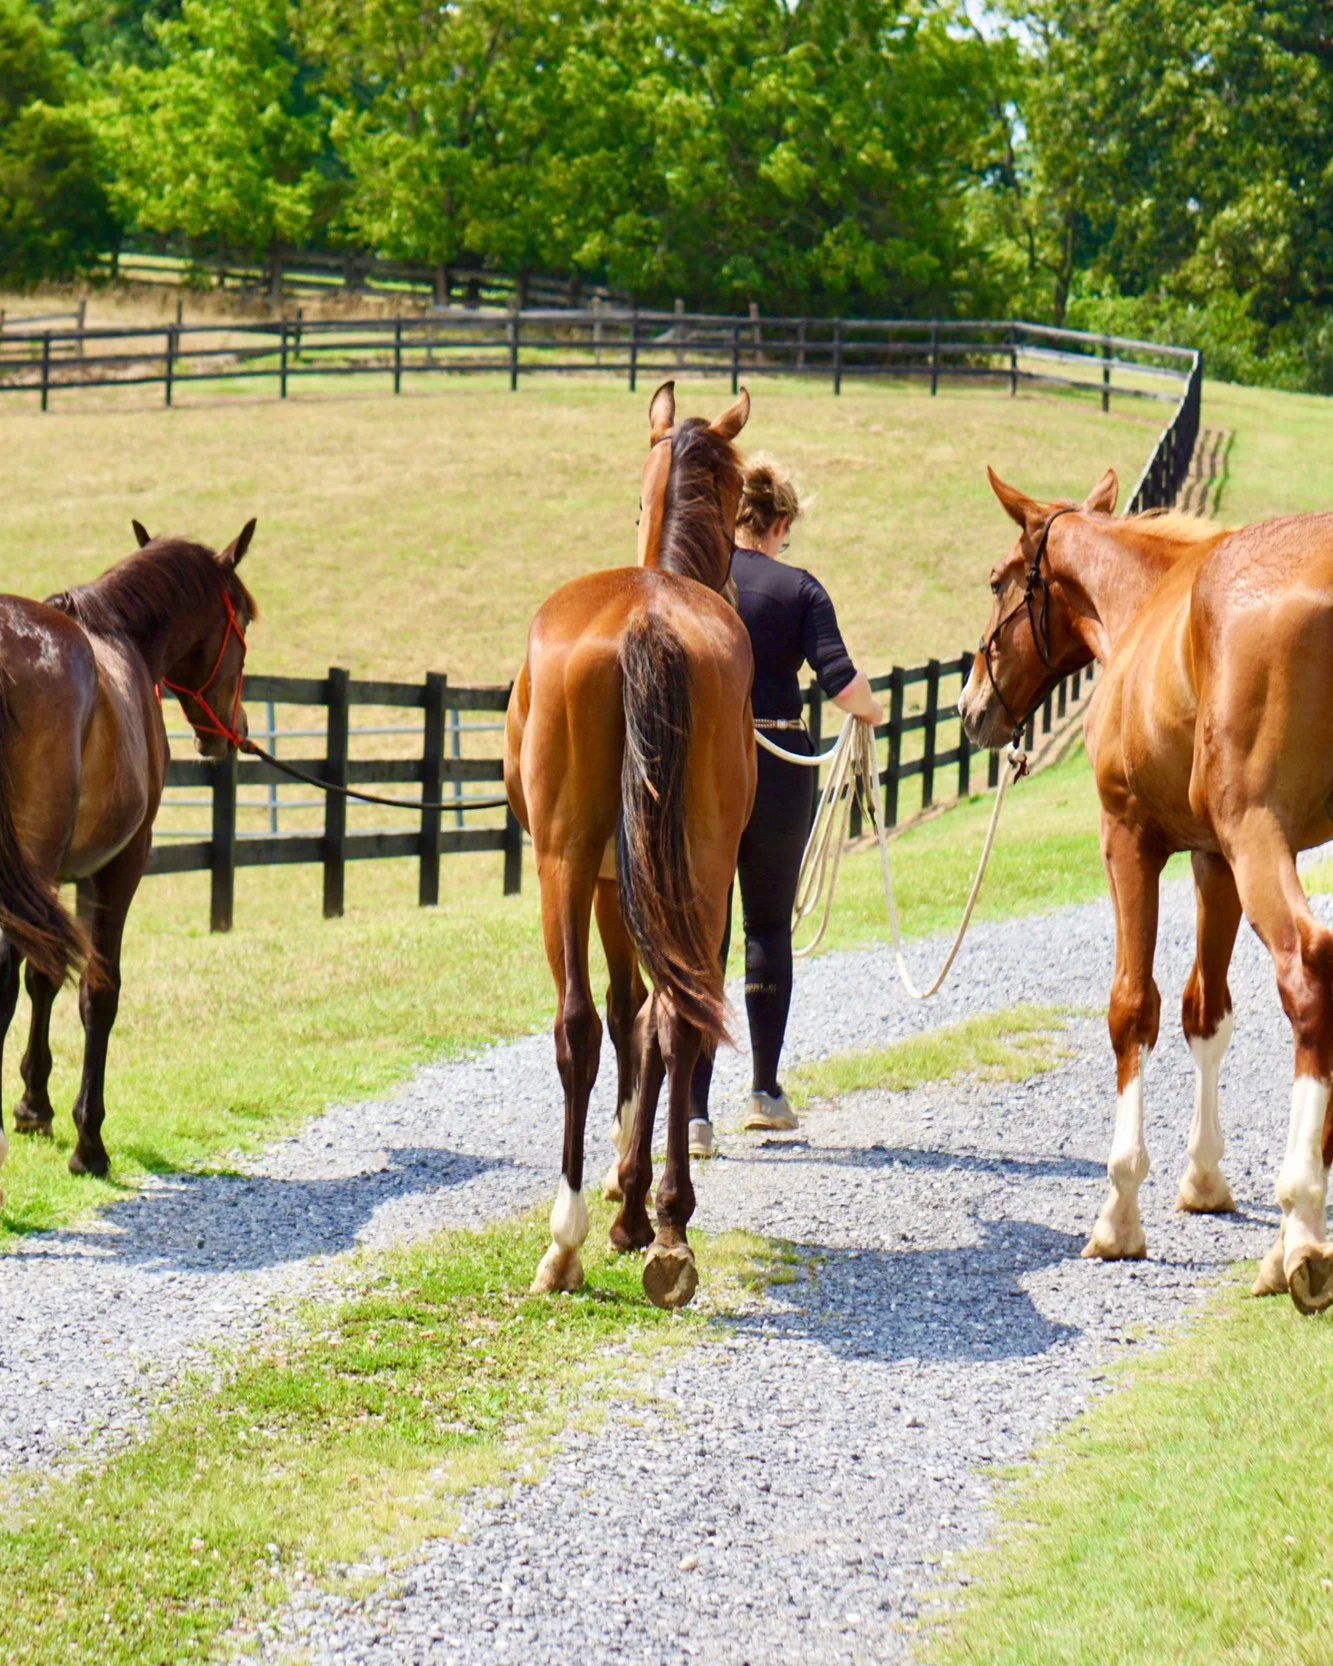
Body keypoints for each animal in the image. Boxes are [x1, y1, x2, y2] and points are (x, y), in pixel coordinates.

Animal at [0, 520, 258, 1191]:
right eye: (245, 619)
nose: (234, 730)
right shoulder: (115, 867)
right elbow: (97, 989)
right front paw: (88, 1143)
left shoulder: (58, 879)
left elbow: (45, 978)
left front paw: (34, 1106)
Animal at [505, 381, 757, 1310]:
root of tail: (649, 620)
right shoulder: (653, 881)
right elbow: (650, 1020)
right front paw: (640, 1199)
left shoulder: (611, 888)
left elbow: (621, 1013)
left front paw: (622, 1188)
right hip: (700, 865)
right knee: (680, 1017)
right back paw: (673, 1236)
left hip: (567, 866)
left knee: (580, 1024)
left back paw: (572, 1238)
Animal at [959, 465, 1333, 1315]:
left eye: (996, 581)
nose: (970, 708)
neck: (1147, 603)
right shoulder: (1212, 859)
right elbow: (1205, 1011)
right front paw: (1203, 1180)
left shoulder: (1128, 838)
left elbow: (1132, 1008)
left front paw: (1119, 1212)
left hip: (1258, 838)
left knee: (1306, 970)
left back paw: (1300, 1229)